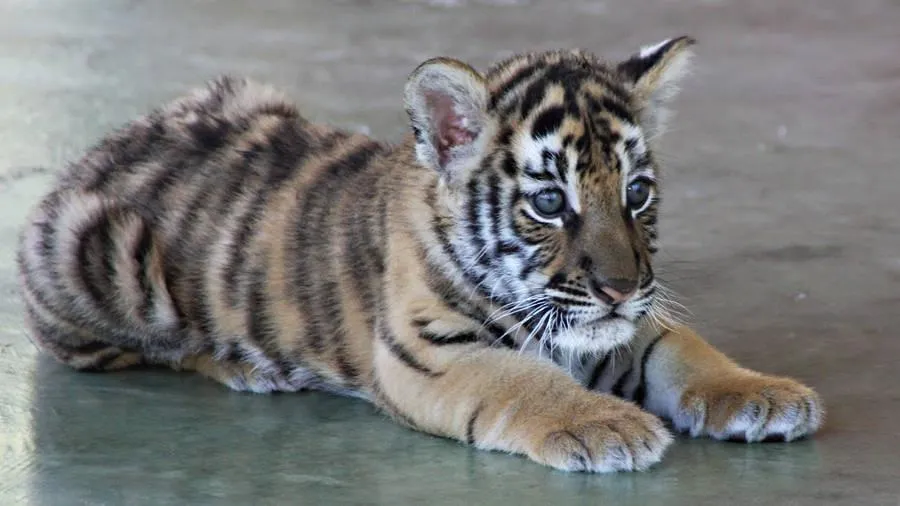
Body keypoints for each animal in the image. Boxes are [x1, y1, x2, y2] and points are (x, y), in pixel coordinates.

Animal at [16, 35, 824, 472]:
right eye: (549, 203)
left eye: (637, 193)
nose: (623, 289)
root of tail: (98, 148)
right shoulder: (432, 351)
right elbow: (525, 379)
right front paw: (607, 425)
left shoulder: (619, 327)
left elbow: (685, 351)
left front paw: (763, 393)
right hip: (102, 255)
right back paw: (248, 370)